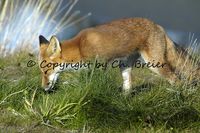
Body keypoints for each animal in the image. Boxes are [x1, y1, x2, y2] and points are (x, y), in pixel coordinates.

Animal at [38, 17, 199, 94]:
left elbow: (90, 85)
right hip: (125, 66)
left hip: (155, 65)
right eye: (42, 72)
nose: (43, 88)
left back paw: (179, 96)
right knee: (128, 87)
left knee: (176, 80)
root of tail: (158, 26)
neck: (80, 48)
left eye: (46, 71)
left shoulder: (99, 67)